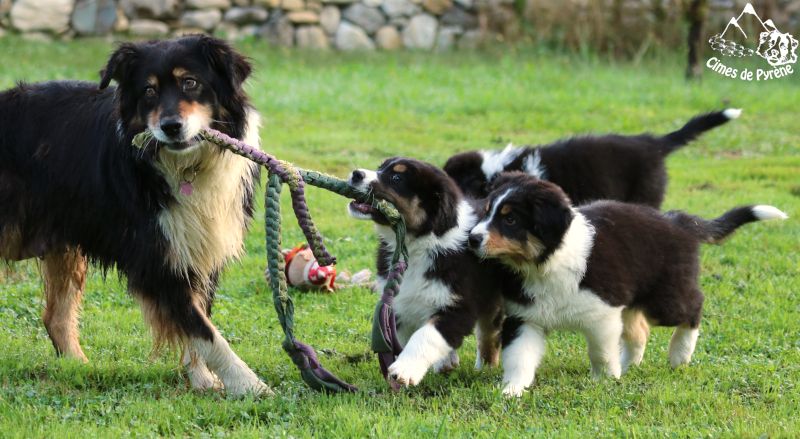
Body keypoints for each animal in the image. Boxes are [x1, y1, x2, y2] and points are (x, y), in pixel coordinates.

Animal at [0, 36, 270, 398]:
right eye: (149, 91)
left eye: (190, 82)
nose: (171, 127)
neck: (185, 166)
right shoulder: (155, 258)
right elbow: (203, 329)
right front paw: (248, 384)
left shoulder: (196, 249)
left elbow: (196, 319)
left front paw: (201, 378)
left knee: (56, 316)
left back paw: (78, 368)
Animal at [346, 158, 510, 388]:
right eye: (381, 168)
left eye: (396, 177)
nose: (356, 174)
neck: (417, 243)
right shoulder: (399, 302)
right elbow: (404, 336)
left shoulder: (458, 305)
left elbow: (426, 335)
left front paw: (404, 369)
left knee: (490, 331)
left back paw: (485, 365)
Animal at [468, 173, 788, 398]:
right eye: (486, 212)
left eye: (510, 219)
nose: (472, 238)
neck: (544, 264)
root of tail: (679, 222)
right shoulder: (525, 316)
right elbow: (518, 356)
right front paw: (512, 390)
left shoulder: (602, 313)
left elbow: (601, 352)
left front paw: (606, 380)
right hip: (633, 301)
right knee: (640, 331)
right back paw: (631, 364)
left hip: (664, 298)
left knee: (694, 305)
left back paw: (679, 355)